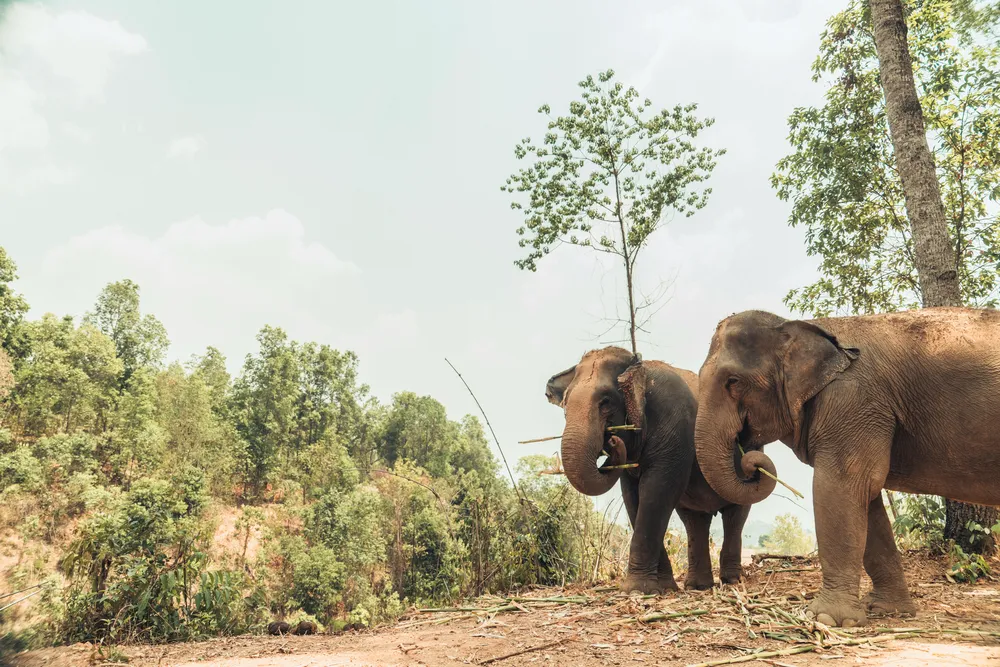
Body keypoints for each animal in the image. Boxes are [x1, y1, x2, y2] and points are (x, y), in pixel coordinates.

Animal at [545, 346, 752, 594]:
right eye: (565, 406)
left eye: (605, 402)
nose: (612, 441)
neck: (639, 368)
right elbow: (632, 498)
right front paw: (662, 588)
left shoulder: (674, 426)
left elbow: (656, 492)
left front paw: (638, 590)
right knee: (694, 520)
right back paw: (698, 586)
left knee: (736, 513)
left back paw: (731, 581)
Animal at [692, 307, 1000, 627]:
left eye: (733, 381)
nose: (750, 459)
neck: (804, 328)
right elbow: (867, 499)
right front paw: (886, 610)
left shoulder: (852, 403)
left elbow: (838, 488)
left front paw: (826, 618)